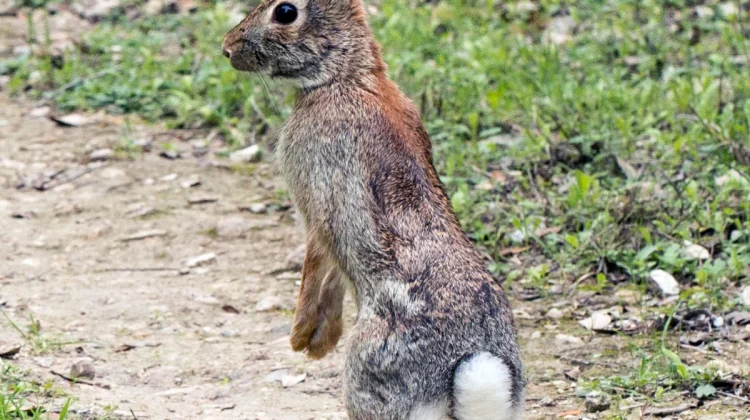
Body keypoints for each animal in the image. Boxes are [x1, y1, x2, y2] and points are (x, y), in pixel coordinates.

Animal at [222, 0, 524, 418]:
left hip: (369, 372)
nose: (227, 48)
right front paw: (319, 341)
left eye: (285, 12)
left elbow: (315, 265)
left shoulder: (317, 203)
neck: (345, 76)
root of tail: (457, 379)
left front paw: (301, 337)